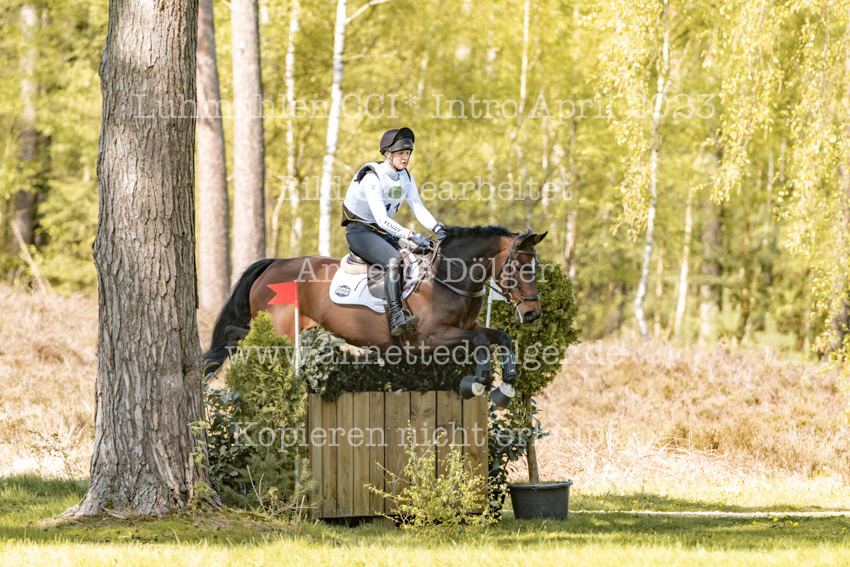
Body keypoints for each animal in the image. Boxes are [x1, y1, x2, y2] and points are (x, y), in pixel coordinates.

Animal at [203, 225, 547, 406]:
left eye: (537, 266)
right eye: (519, 267)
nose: (532, 314)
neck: (445, 276)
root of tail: (273, 264)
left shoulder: (464, 326)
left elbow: (500, 336)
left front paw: (507, 386)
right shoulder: (428, 339)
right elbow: (479, 341)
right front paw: (477, 383)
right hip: (279, 332)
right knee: (236, 335)